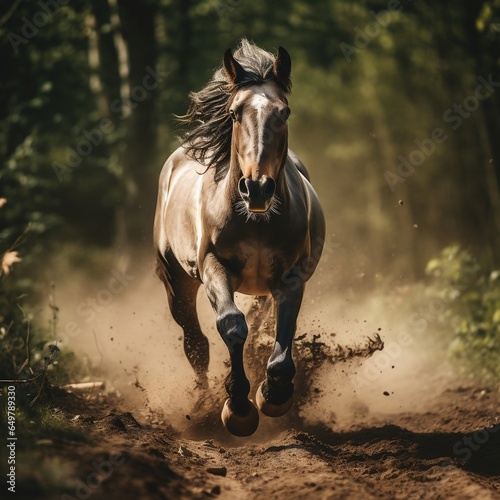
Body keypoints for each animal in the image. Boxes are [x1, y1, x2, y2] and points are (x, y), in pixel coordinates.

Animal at [154, 40, 326, 438]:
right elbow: (232, 325)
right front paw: (238, 408)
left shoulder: (291, 275)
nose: (257, 188)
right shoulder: (214, 268)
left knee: (259, 319)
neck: (256, 221)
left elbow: (283, 329)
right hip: (177, 281)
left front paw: (274, 394)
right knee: (196, 344)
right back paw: (201, 404)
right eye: (234, 114)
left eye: (285, 112)